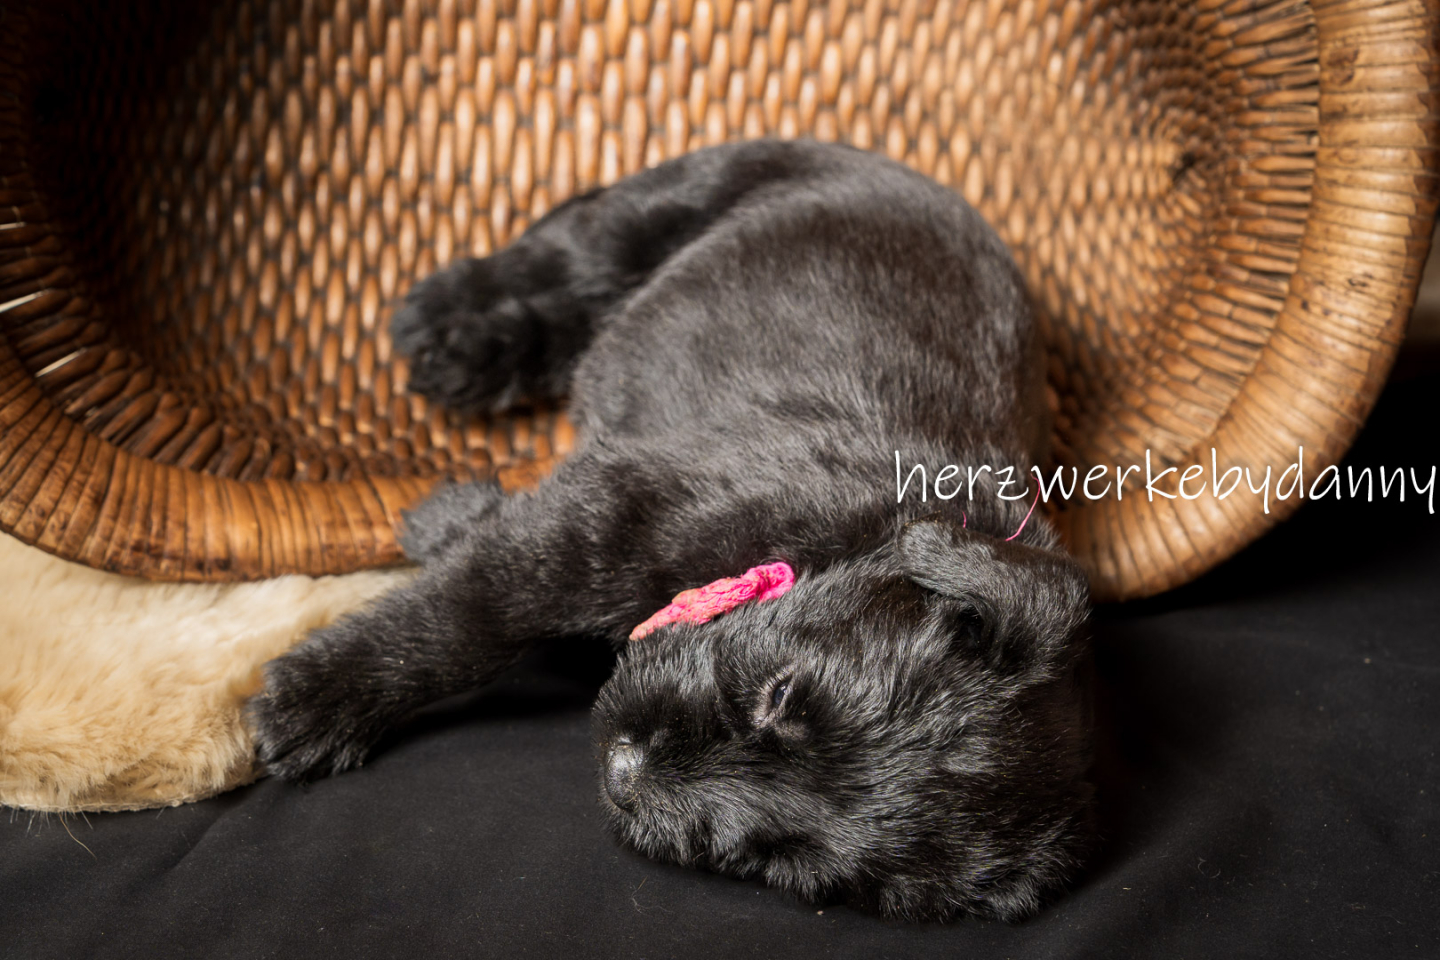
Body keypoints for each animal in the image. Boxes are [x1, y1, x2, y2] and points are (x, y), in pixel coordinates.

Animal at [248, 139, 1095, 921]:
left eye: (785, 862)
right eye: (782, 695)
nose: (623, 776)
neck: (847, 544)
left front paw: (448, 519)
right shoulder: (604, 520)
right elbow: (465, 620)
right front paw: (314, 701)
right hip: (665, 202)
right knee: (562, 262)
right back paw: (449, 330)